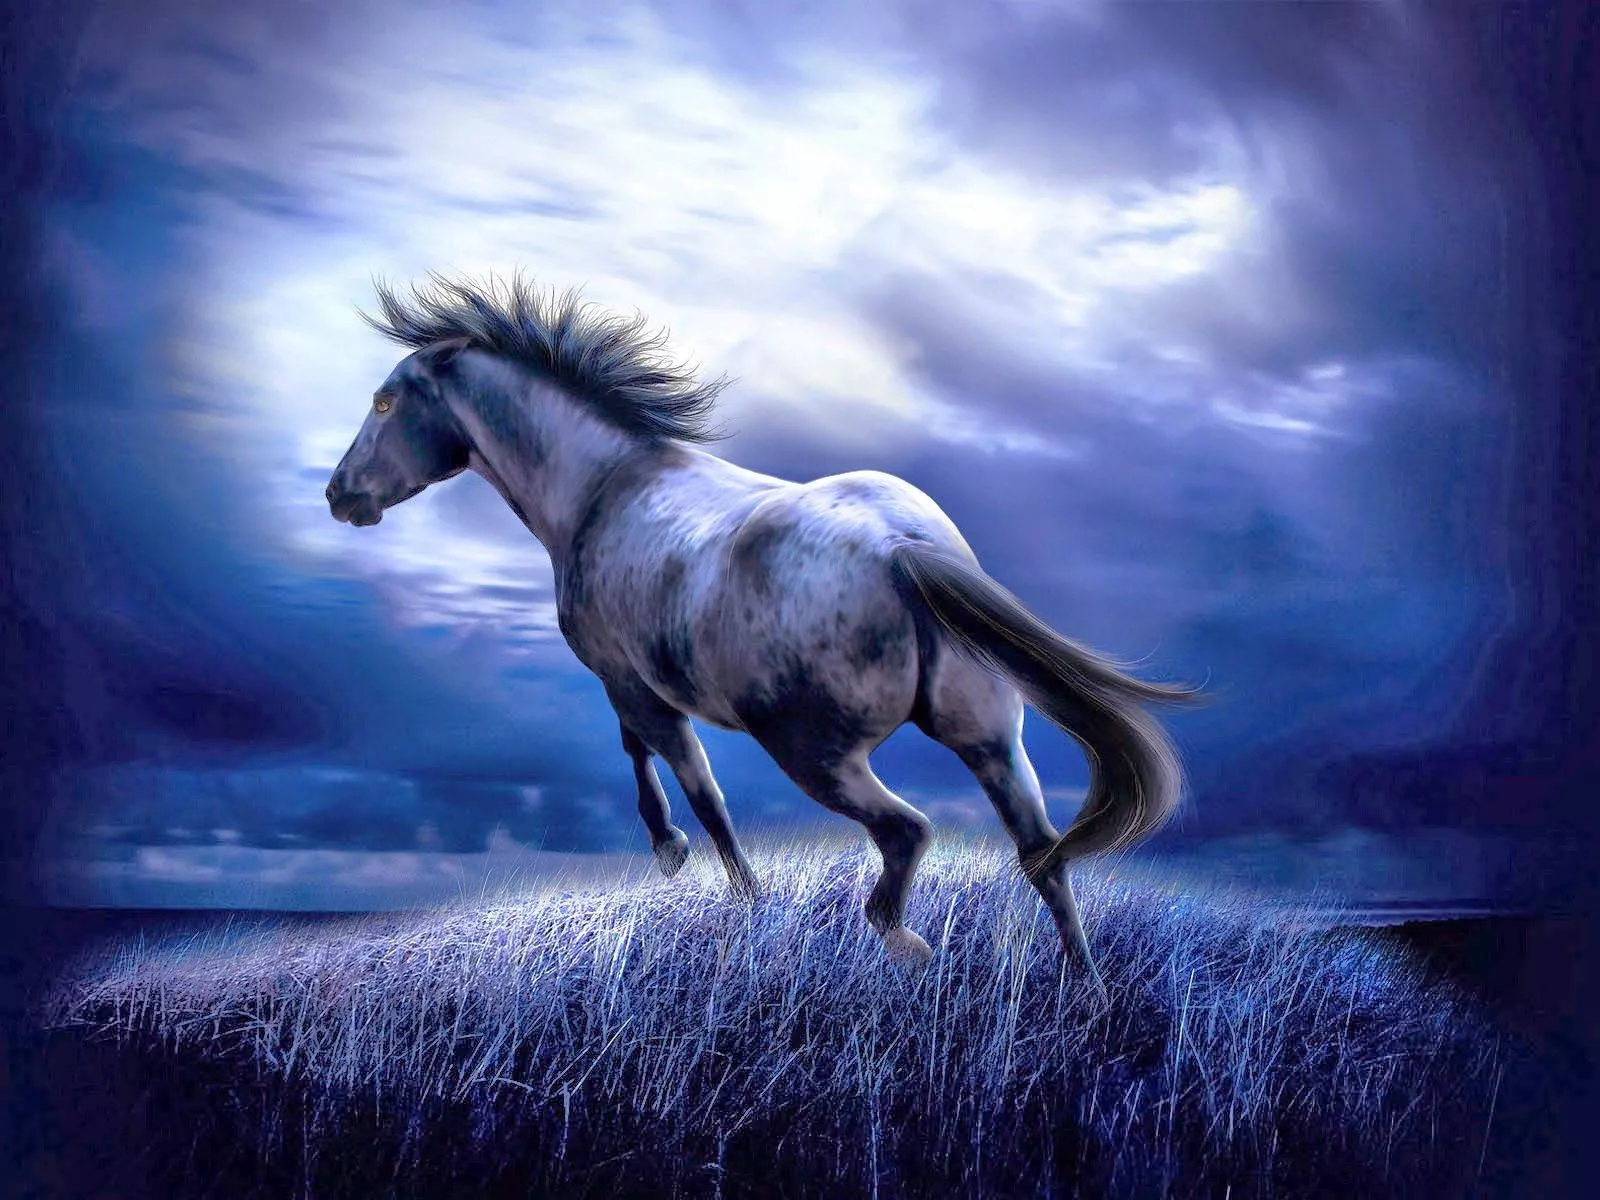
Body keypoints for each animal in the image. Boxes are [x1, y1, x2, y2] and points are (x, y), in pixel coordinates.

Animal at [326, 272, 1200, 990]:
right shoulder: (635, 686)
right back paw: (1085, 988)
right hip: (989, 737)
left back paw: (906, 944)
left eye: (384, 402)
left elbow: (694, 786)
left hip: (814, 752)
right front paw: (682, 858)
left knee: (909, 832)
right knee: (1042, 855)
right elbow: (647, 758)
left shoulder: (631, 683)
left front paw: (719, 881)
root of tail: (906, 550)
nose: (339, 495)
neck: (604, 487)